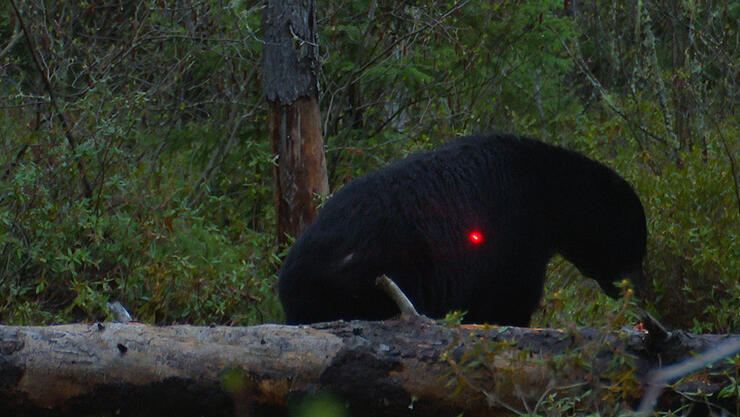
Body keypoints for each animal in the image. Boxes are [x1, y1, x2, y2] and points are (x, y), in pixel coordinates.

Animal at [274, 133, 644, 324]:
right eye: (636, 244)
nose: (636, 292)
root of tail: (286, 276)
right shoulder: (516, 233)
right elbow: (509, 300)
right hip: (364, 277)